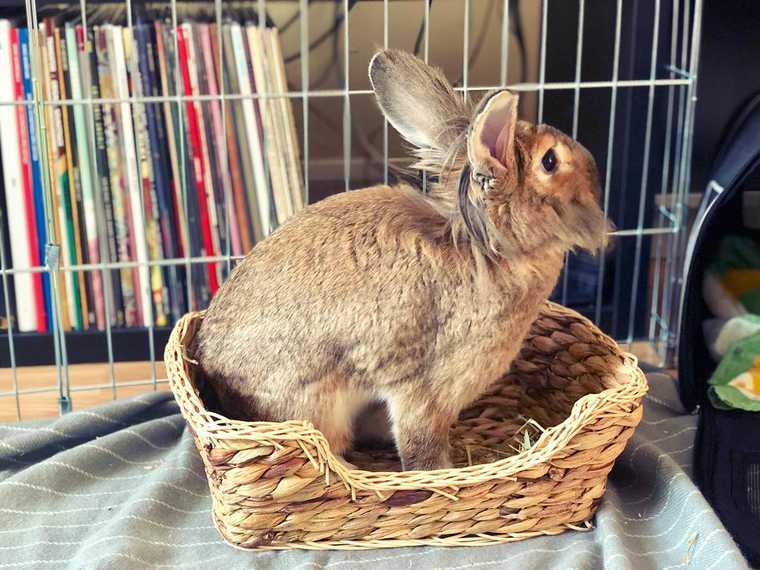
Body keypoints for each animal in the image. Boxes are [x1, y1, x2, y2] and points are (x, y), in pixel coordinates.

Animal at [193, 49, 610, 471]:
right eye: (550, 162)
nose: (595, 170)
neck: (485, 245)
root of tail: (213, 372)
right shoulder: (427, 390)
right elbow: (420, 443)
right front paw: (439, 474)